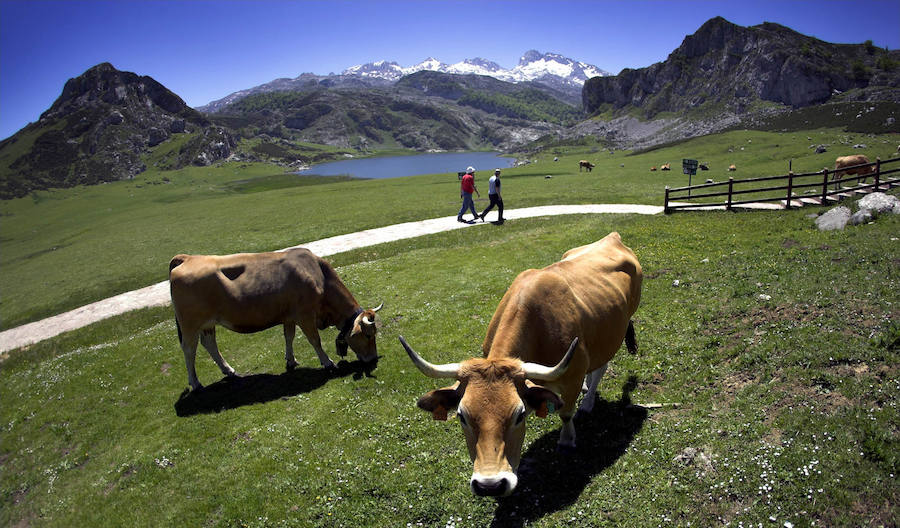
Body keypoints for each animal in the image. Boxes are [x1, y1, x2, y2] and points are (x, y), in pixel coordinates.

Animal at [171, 249, 382, 392]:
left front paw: (291, 360)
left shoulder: (289, 317)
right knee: (189, 349)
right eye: (368, 335)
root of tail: (188, 258)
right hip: (190, 324)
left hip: (208, 324)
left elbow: (289, 337)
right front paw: (328, 362)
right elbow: (315, 340)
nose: (373, 358)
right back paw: (195, 383)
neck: (318, 275)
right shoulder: (305, 315)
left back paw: (229, 370)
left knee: (209, 344)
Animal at [400, 233, 640, 498]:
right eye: (462, 416)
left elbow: (566, 412)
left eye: (520, 414)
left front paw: (567, 440)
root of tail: (612, 238)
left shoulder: (572, 376)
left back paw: (587, 401)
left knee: (601, 367)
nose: (490, 485)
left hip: (615, 332)